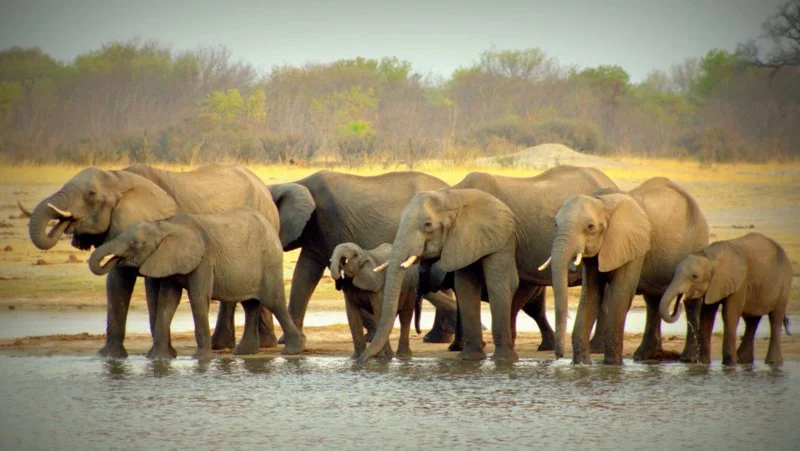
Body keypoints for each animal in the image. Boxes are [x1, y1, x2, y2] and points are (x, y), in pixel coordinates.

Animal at [87, 208, 306, 359]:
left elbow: (198, 297)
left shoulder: (204, 260)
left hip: (269, 262)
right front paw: (158, 359)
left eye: (135, 243)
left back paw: (293, 351)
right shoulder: (171, 260)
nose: (112, 260)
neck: (165, 226)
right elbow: (168, 301)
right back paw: (244, 353)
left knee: (274, 302)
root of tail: (271, 227)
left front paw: (201, 360)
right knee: (250, 304)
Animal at [259, 170, 459, 345]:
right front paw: (285, 341)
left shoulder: (331, 223)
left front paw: (371, 336)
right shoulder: (315, 233)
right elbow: (304, 274)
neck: (295, 183)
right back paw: (437, 338)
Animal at [359, 166, 618, 363]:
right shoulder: (466, 237)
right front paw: (470, 358)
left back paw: (596, 348)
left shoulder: (502, 233)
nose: (361, 361)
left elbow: (500, 282)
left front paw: (502, 360)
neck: (454, 194)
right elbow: (465, 286)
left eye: (427, 226)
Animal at [545, 177, 709, 365]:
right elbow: (590, 296)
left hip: (698, 243)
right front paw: (582, 364)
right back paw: (644, 357)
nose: (558, 356)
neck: (603, 203)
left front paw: (612, 365)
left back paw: (688, 360)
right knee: (653, 301)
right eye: (555, 224)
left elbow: (620, 295)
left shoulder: (632, 245)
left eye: (590, 227)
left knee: (691, 302)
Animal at [660, 233, 792, 366]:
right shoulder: (714, 285)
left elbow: (729, 315)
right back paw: (744, 362)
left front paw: (729, 365)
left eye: (694, 276)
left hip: (784, 282)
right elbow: (707, 316)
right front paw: (704, 364)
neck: (710, 258)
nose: (680, 302)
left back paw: (772, 362)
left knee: (775, 318)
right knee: (752, 321)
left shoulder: (739, 282)